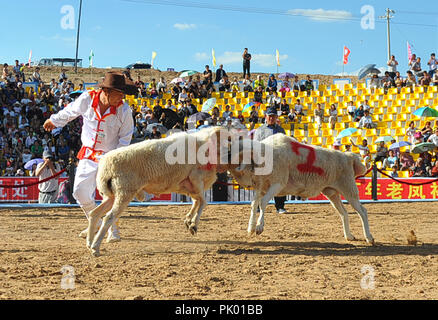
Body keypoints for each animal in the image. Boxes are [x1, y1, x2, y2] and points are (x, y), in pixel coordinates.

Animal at [87, 126, 228, 256]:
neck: (204, 145)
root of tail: (105, 166)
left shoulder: (189, 186)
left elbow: (196, 202)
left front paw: (189, 221)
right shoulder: (196, 179)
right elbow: (203, 202)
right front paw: (193, 225)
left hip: (111, 195)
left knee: (94, 213)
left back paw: (89, 242)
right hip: (125, 192)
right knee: (108, 217)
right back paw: (95, 247)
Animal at [228, 133, 374, 245]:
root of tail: (349, 156)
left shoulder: (277, 184)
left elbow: (262, 203)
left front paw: (259, 227)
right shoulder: (260, 187)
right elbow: (254, 204)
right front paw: (250, 228)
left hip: (349, 189)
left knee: (362, 211)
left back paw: (369, 238)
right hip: (331, 192)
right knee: (343, 213)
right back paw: (349, 236)